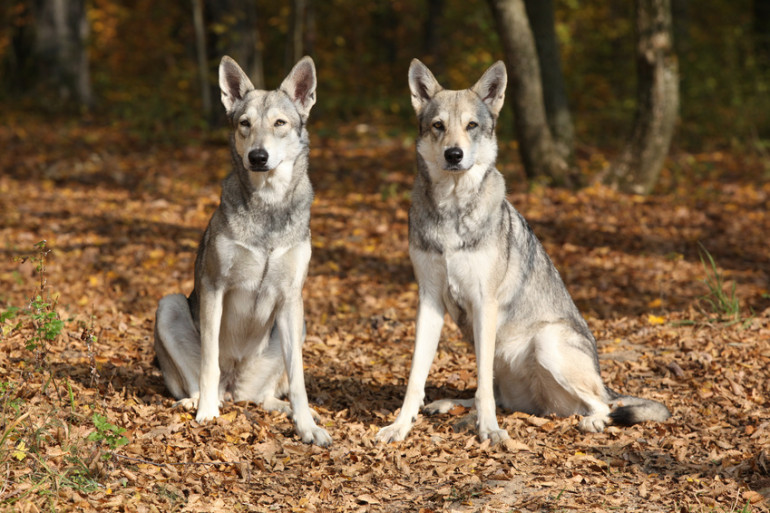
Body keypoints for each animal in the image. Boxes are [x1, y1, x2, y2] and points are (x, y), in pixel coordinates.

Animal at [153, 54, 330, 444]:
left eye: (280, 123)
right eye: (245, 124)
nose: (258, 157)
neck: (268, 206)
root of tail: (236, 388)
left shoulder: (292, 297)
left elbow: (298, 378)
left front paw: (307, 426)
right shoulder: (214, 287)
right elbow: (208, 364)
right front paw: (206, 414)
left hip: (297, 325)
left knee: (264, 396)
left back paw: (287, 410)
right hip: (169, 303)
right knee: (203, 383)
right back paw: (199, 402)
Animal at [376, 59, 668, 444]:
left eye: (471, 126)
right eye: (438, 126)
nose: (454, 155)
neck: (452, 210)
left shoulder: (484, 302)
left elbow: (483, 388)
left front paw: (489, 431)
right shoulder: (429, 301)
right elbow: (416, 378)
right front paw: (400, 426)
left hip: (546, 342)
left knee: (604, 406)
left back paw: (591, 421)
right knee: (496, 394)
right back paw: (451, 407)